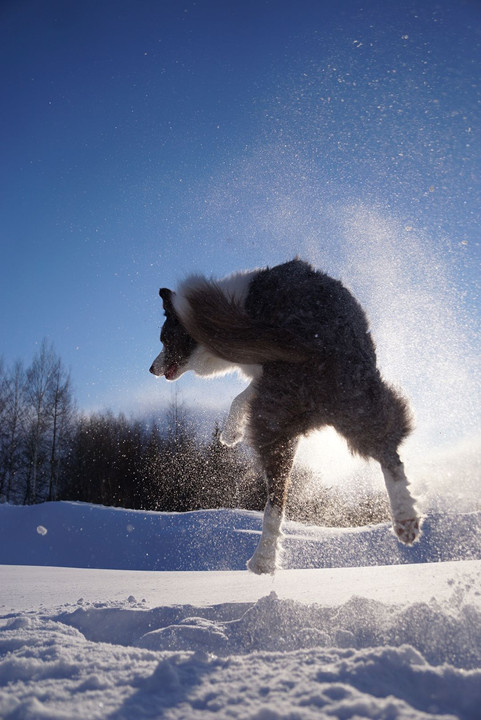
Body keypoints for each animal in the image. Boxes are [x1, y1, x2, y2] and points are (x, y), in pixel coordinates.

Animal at [149, 258, 420, 572]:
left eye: (164, 338)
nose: (151, 369)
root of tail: (308, 337)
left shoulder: (257, 366)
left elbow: (239, 398)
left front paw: (229, 433)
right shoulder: (261, 372)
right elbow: (241, 396)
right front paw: (231, 431)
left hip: (280, 415)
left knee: (277, 496)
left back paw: (261, 561)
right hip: (354, 401)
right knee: (388, 455)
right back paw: (405, 518)